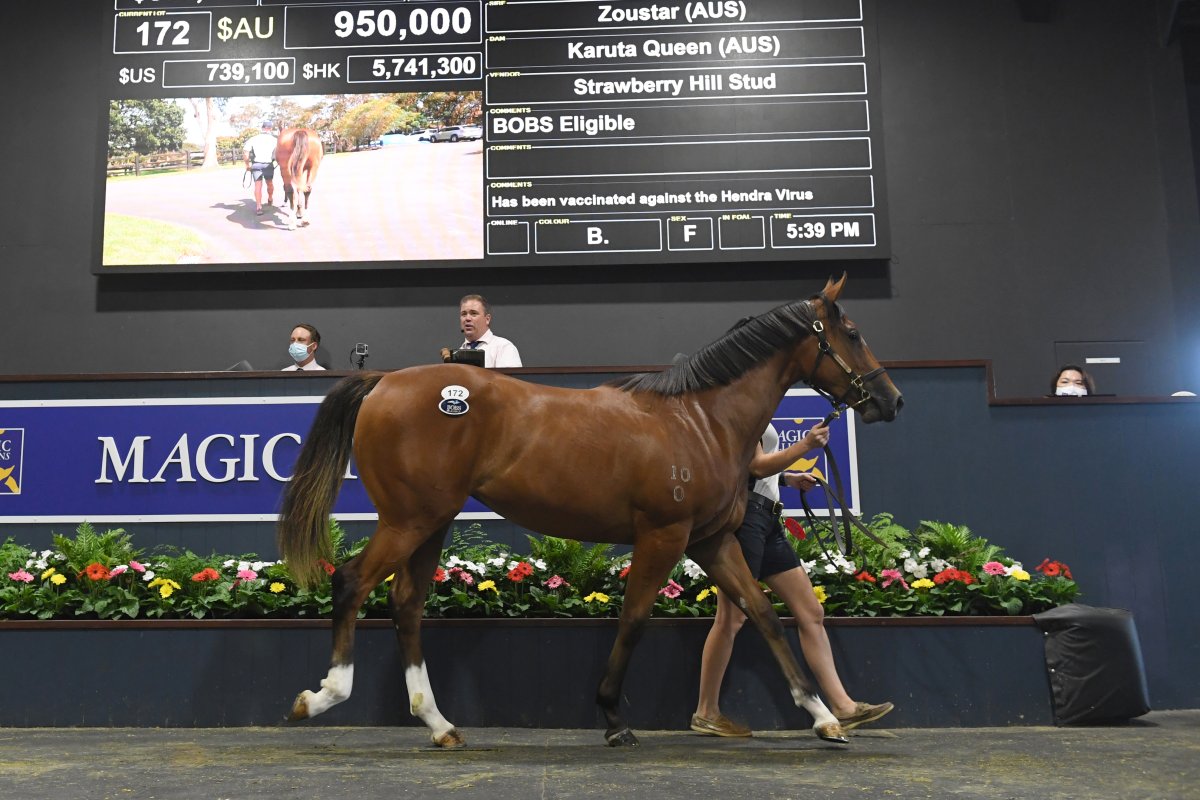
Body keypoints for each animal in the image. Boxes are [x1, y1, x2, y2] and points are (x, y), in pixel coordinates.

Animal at [278, 277, 902, 753]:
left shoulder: (712, 541)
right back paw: (321, 697)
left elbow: (765, 614)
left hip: (430, 522)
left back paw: (439, 724)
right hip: (408, 520)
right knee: (351, 583)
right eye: (852, 333)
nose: (890, 400)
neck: (701, 420)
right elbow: (634, 619)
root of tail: (382, 381)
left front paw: (825, 718)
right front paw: (613, 719)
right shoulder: (663, 536)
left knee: (406, 604)